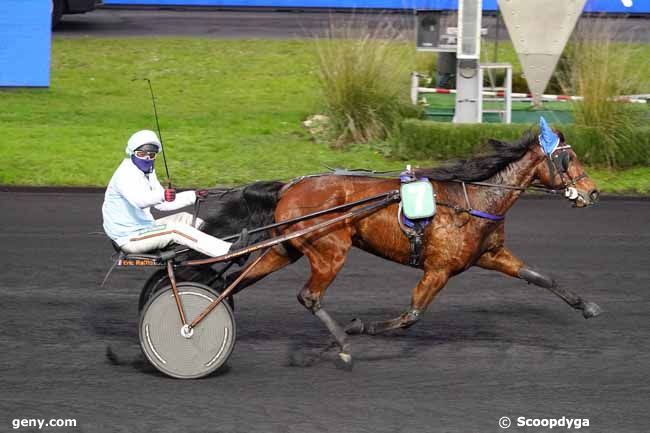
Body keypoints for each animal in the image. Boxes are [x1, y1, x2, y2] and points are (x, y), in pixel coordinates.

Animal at [199, 126, 604, 366]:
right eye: (567, 158)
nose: (593, 192)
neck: (474, 200)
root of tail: (290, 186)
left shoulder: (490, 255)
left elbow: (540, 277)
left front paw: (587, 306)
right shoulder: (438, 269)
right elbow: (411, 316)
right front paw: (357, 327)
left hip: (286, 249)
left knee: (236, 279)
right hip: (330, 251)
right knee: (308, 296)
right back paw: (342, 342)